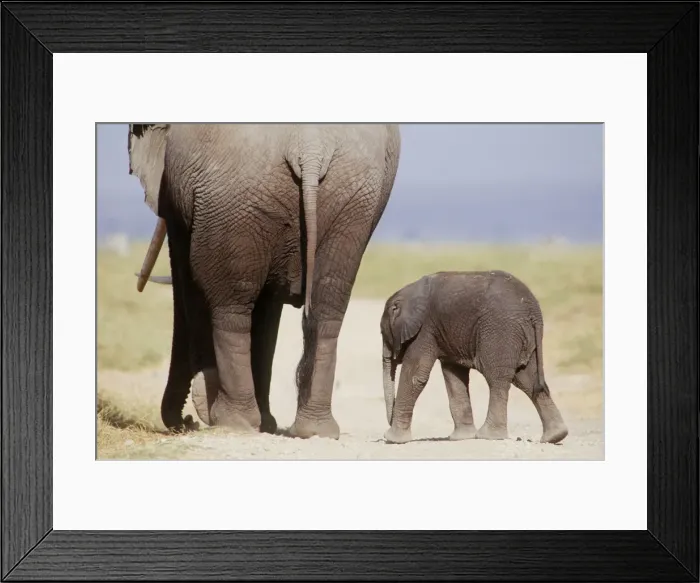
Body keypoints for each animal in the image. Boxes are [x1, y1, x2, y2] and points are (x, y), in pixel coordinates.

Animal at [128, 123, 401, 439]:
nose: (186, 422)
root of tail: (311, 147)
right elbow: (269, 311)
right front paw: (266, 424)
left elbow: (189, 280)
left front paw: (205, 403)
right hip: (351, 203)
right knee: (327, 307)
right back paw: (313, 430)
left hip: (234, 196)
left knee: (231, 306)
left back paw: (232, 421)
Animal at [379, 270, 568, 445]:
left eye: (382, 333)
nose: (389, 423)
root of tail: (533, 309)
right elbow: (454, 377)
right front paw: (461, 438)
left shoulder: (425, 329)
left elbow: (415, 376)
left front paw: (393, 439)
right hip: (523, 337)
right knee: (527, 379)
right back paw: (555, 436)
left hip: (500, 331)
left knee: (497, 378)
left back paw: (489, 436)